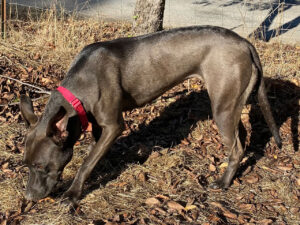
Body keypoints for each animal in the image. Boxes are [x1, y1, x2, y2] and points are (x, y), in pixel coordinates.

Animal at [19, 25, 282, 205]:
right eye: (27, 165)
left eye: (41, 165)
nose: (29, 197)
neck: (79, 89)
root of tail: (244, 43)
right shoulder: (98, 125)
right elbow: (94, 154)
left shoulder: (114, 125)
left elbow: (86, 163)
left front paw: (73, 193)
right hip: (231, 103)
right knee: (242, 136)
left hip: (222, 107)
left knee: (236, 147)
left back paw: (223, 182)